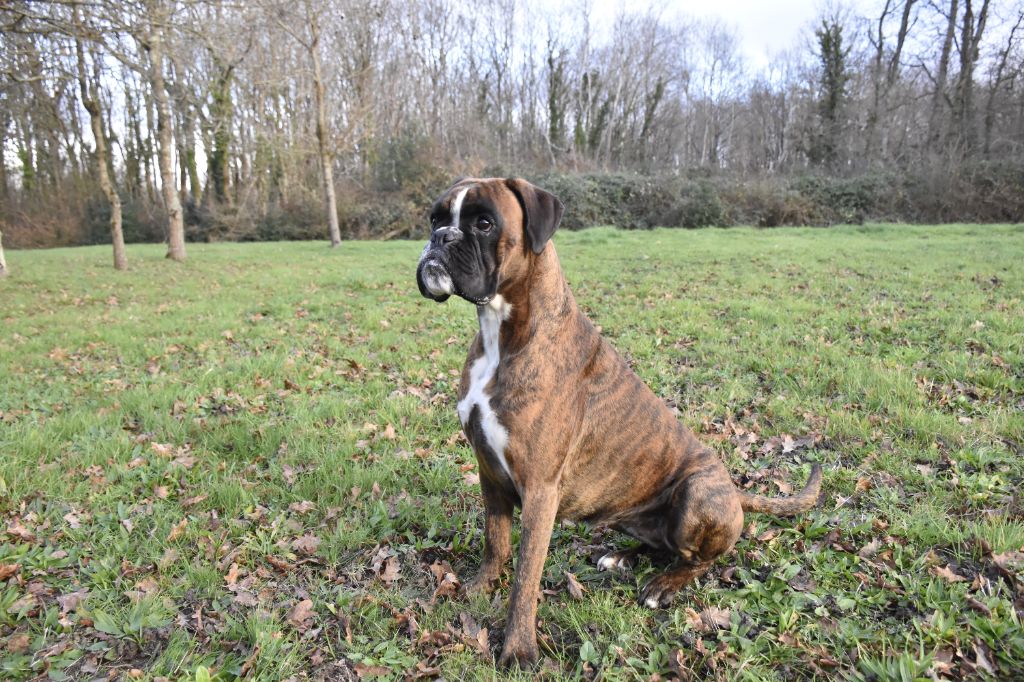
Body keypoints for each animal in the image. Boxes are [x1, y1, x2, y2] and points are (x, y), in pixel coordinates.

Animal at [415, 175, 823, 663]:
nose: (440, 238)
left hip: (696, 494)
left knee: (700, 560)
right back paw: (623, 557)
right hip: (632, 511)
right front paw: (480, 588)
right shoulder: (489, 472)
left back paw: (662, 586)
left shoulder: (540, 490)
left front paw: (518, 648)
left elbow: (525, 580)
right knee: (665, 547)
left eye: (483, 223)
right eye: (435, 218)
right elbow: (496, 543)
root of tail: (736, 492)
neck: (503, 334)